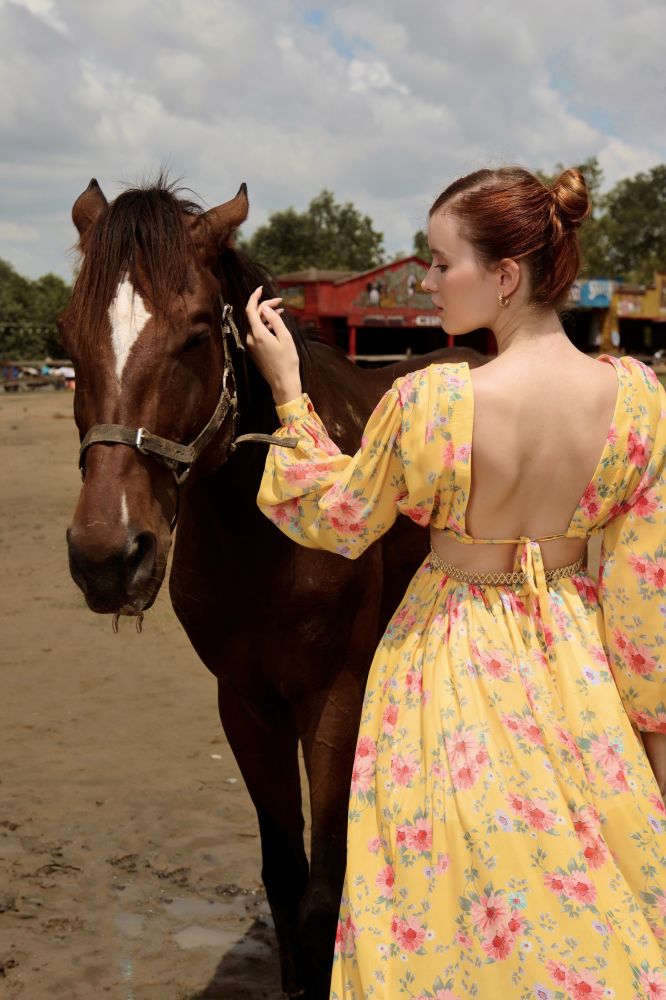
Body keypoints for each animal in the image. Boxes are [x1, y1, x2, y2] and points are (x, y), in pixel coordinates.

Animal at [58, 176, 482, 996]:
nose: (107, 554)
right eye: (65, 334)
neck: (267, 536)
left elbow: (325, 890)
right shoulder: (247, 705)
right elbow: (284, 878)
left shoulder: (332, 698)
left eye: (197, 331)